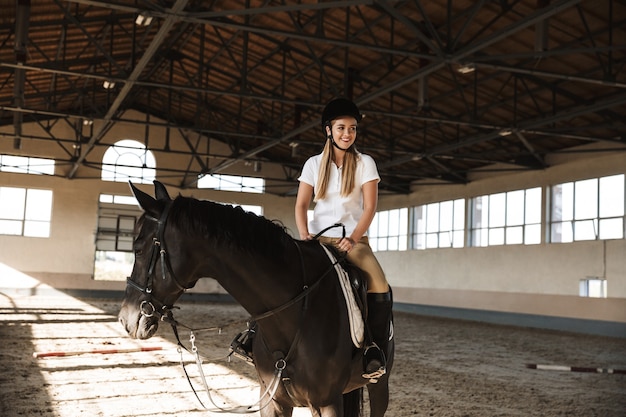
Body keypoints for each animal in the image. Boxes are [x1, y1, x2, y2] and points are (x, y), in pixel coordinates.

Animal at [117, 181, 392, 416]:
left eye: (137, 249)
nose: (124, 320)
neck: (294, 315)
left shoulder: (327, 404)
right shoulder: (273, 401)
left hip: (379, 384)